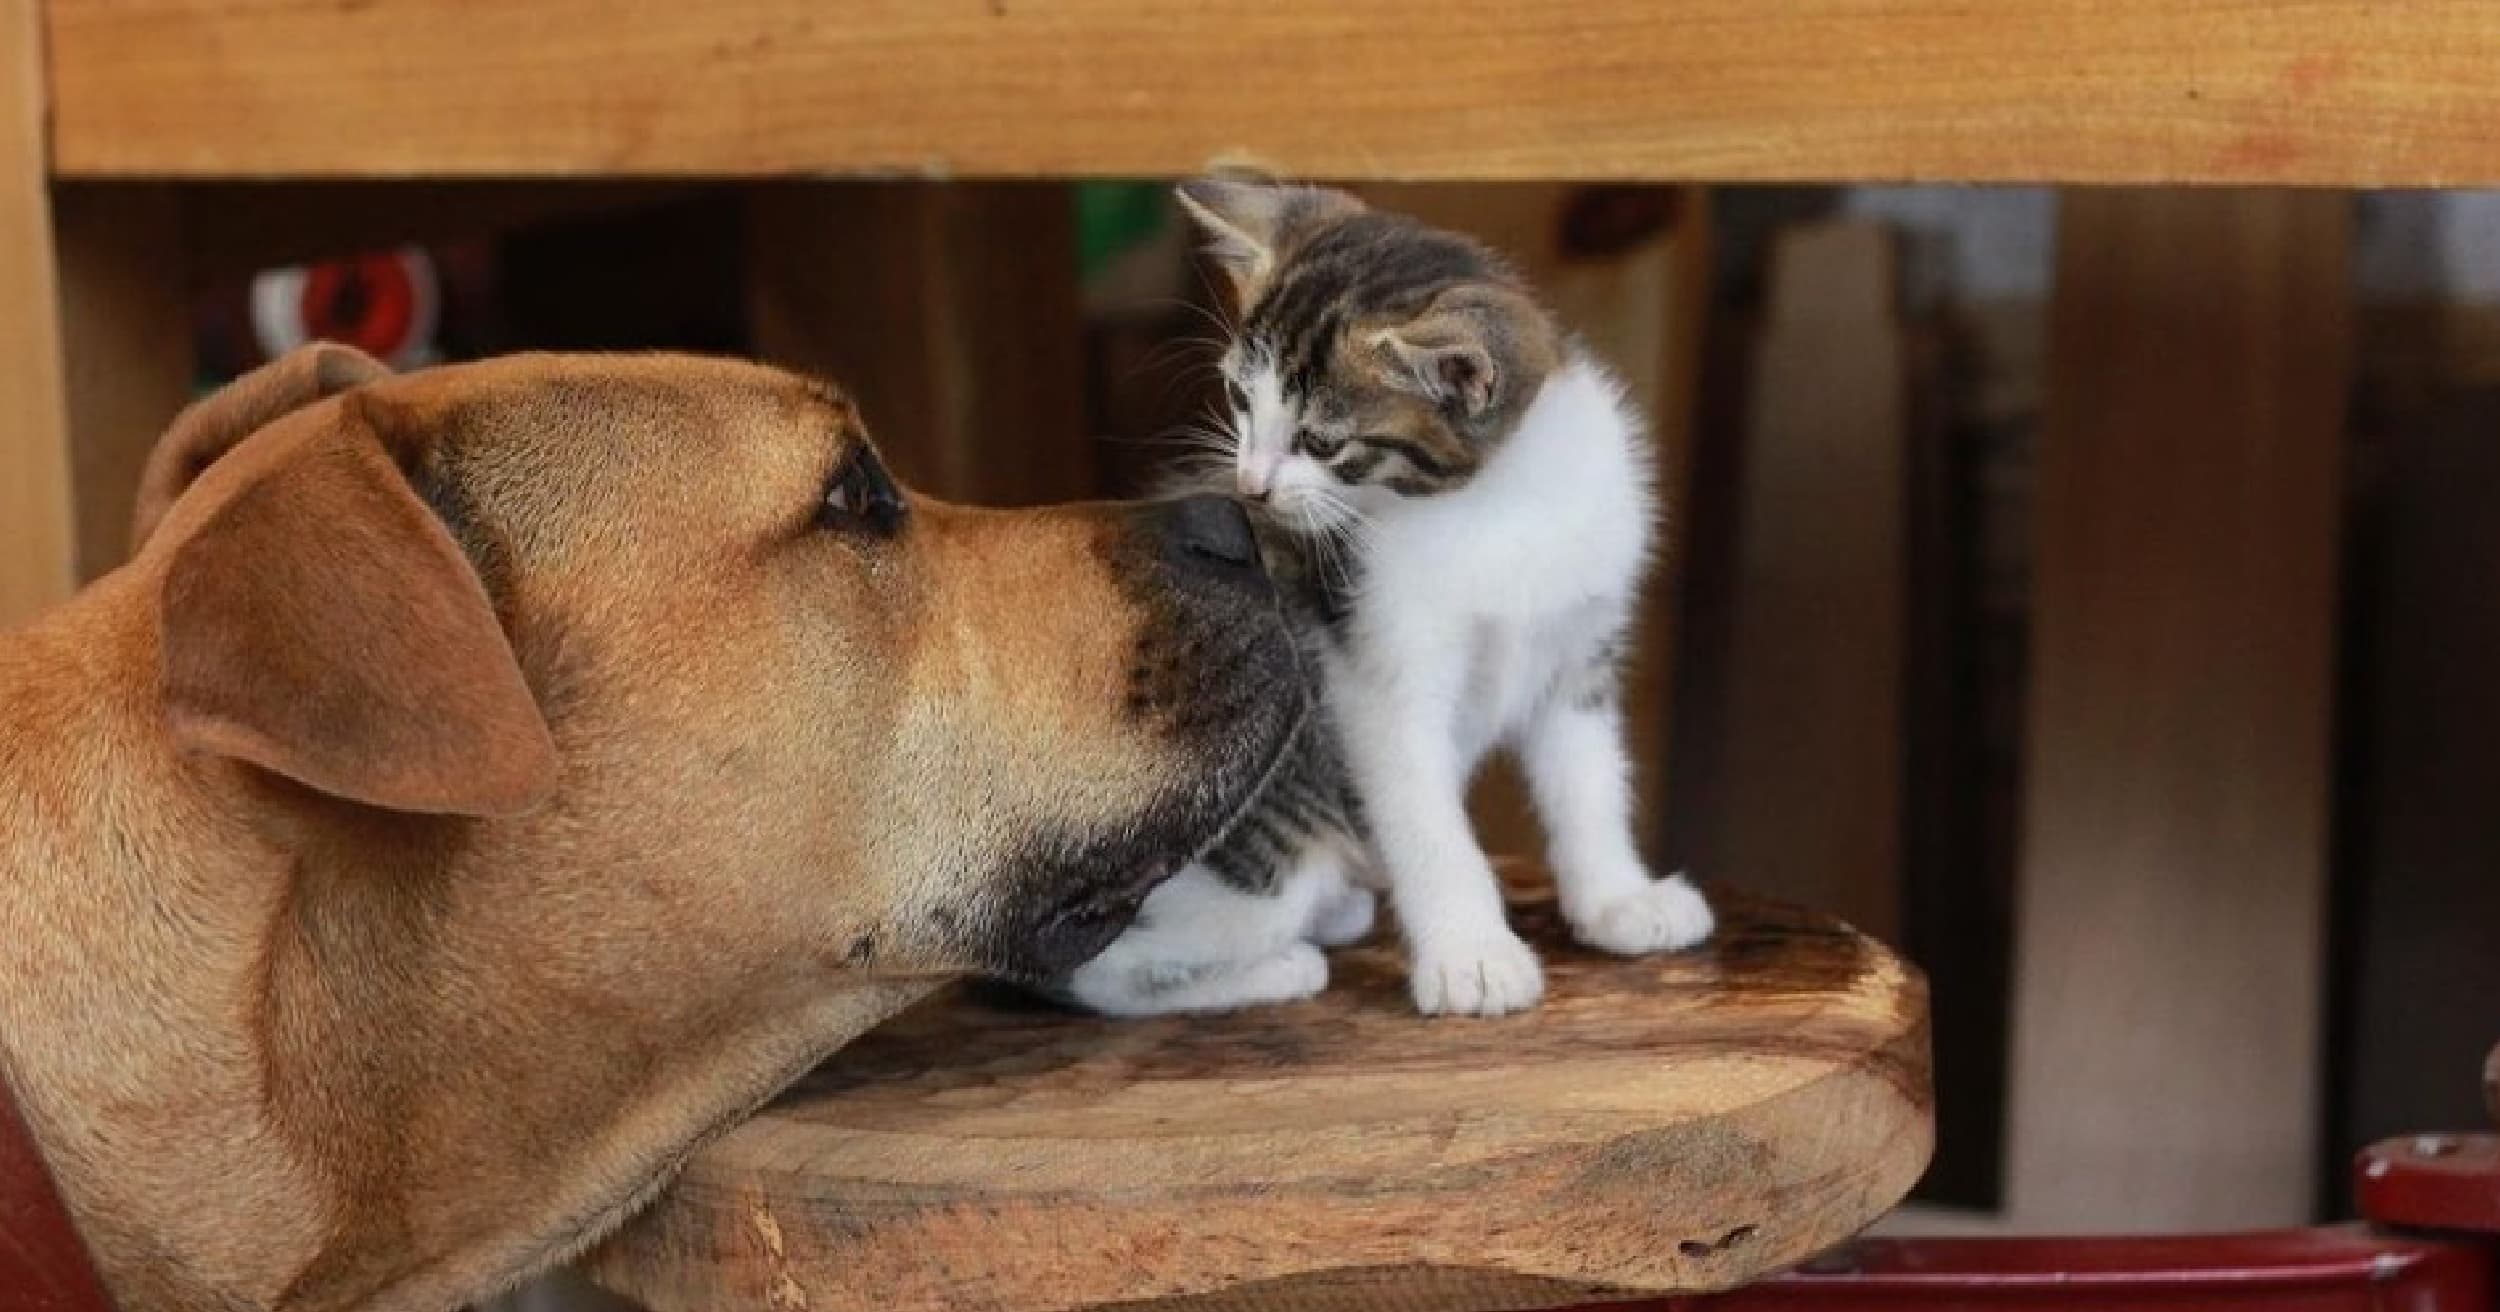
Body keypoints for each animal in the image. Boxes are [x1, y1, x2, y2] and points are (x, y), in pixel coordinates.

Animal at [1055, 176, 1720, 1014]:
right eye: (1240, 401)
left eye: (1321, 442)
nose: (1251, 487)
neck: (1496, 505)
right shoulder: (1378, 668)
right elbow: (1425, 817)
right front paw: (1472, 956)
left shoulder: (1576, 651)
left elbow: (1589, 780)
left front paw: (1618, 900)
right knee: (1087, 973)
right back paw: (1281, 968)